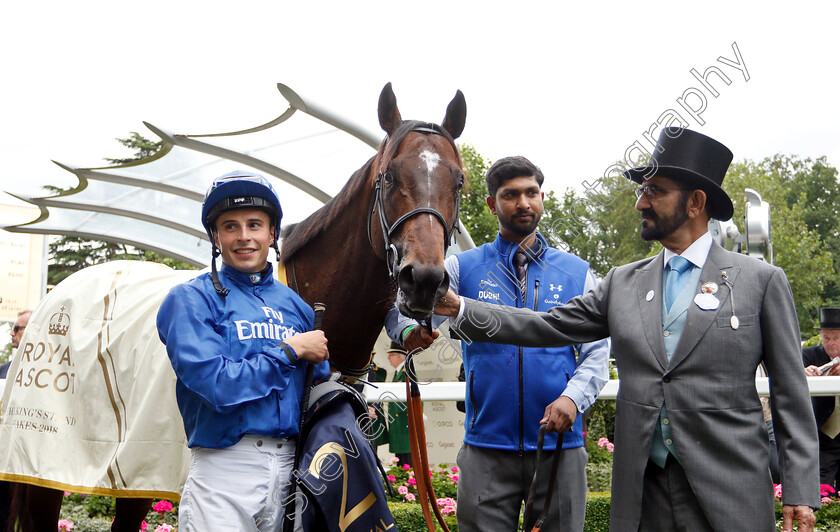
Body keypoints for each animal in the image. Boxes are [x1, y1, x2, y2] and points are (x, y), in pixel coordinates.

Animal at [4, 81, 466, 528]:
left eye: (458, 180)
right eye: (388, 177)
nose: (424, 279)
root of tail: (56, 297)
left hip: (134, 471)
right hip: (46, 457)